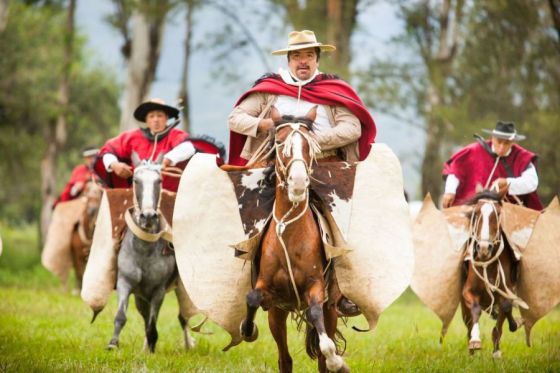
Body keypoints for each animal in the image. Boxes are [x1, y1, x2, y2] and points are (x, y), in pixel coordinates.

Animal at [106, 151, 196, 352]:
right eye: (135, 180)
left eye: (159, 180)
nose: (147, 216)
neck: (143, 249)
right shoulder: (125, 283)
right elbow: (121, 316)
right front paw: (113, 343)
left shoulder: (158, 291)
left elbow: (152, 325)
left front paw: (152, 347)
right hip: (141, 297)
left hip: (180, 288)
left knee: (183, 317)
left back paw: (188, 344)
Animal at [238, 107, 348, 372]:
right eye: (279, 142)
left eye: (310, 145)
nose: (298, 182)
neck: (289, 235)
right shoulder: (269, 293)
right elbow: (252, 298)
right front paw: (247, 329)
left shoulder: (316, 287)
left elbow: (317, 318)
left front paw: (337, 360)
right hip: (277, 315)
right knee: (284, 359)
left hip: (331, 308)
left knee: (322, 354)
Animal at [460, 189, 524, 358]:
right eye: (475, 213)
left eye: (498, 214)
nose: (483, 248)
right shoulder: (468, 292)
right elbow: (475, 309)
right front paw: (475, 341)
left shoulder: (506, 291)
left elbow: (506, 309)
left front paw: (496, 352)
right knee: (468, 324)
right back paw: (471, 353)